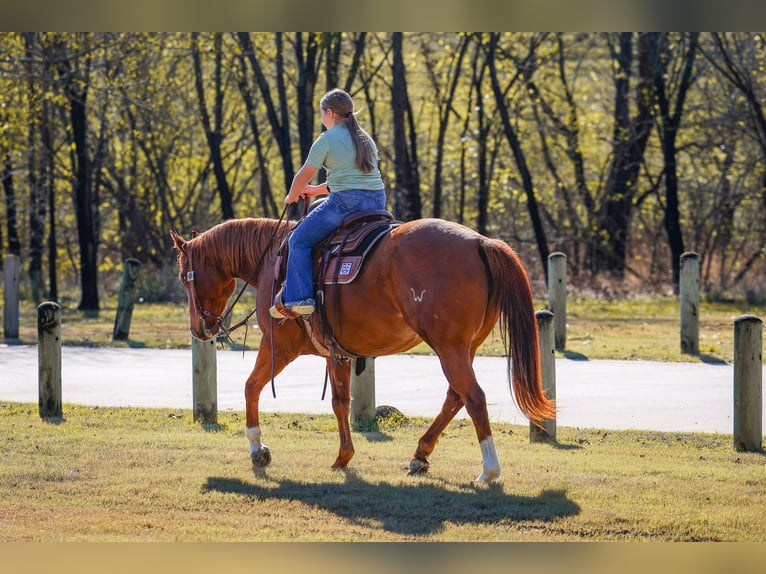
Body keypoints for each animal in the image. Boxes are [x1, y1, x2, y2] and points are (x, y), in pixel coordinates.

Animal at [171, 216, 554, 483]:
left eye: (183, 276)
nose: (198, 328)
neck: (273, 260)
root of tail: (479, 242)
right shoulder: (336, 352)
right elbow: (341, 402)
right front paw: (343, 457)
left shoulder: (279, 345)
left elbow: (251, 386)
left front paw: (257, 449)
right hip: (465, 347)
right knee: (455, 397)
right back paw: (420, 455)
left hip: (449, 347)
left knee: (473, 397)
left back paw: (489, 469)